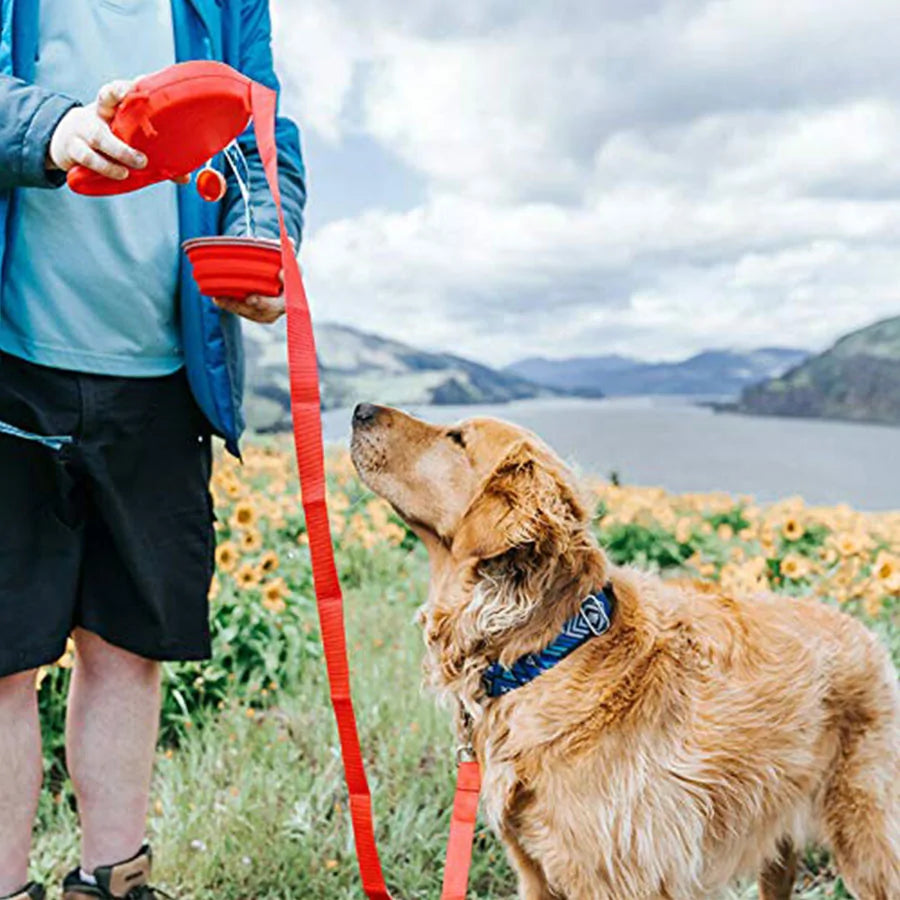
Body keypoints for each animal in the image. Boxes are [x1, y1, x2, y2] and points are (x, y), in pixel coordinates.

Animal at [352, 404, 900, 896]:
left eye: (457, 439)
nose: (359, 410)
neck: (546, 652)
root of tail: (866, 631)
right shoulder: (534, 870)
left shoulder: (620, 877)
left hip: (867, 836)